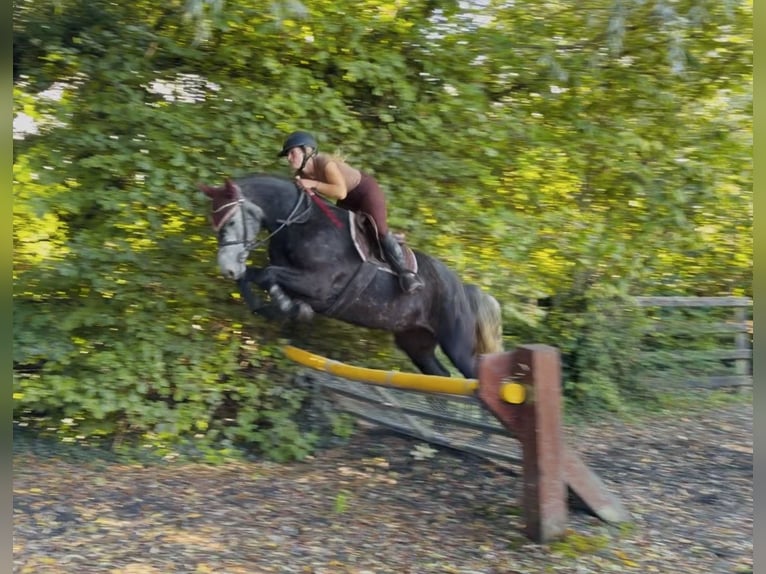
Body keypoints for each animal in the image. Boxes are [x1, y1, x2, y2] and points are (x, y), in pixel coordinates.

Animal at [198, 173, 503, 379]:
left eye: (232, 222)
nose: (227, 267)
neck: (298, 223)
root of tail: (463, 288)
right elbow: (255, 277)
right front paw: (276, 308)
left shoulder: (319, 285)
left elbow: (268, 275)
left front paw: (288, 307)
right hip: (416, 343)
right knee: (440, 376)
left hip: (457, 344)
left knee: (473, 375)